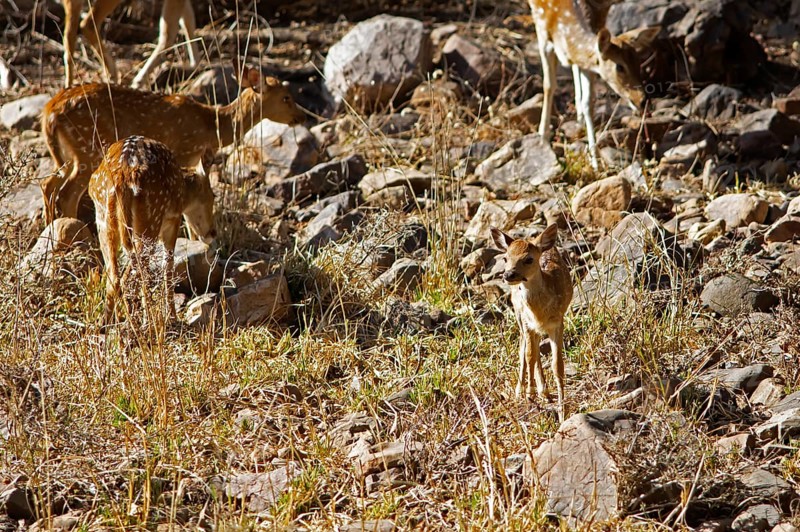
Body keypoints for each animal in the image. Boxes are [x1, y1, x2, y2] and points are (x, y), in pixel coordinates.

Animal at [41, 65, 305, 224]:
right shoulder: (182, 152)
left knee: (48, 184)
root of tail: (49, 113)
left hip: (66, 154)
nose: (302, 116)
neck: (211, 126)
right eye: (286, 98)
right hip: (89, 148)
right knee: (67, 193)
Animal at [62, 0, 199, 88]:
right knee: (88, 23)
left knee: (69, 30)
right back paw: (114, 74)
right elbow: (169, 33)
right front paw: (138, 81)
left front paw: (195, 64)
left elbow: (188, 21)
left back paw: (69, 85)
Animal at [89, 135, 216, 327]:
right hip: (151, 219)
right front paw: (171, 317)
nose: (212, 233)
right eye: (213, 196)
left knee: (114, 278)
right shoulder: (172, 222)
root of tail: (121, 178)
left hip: (103, 220)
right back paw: (138, 325)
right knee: (131, 278)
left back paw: (107, 324)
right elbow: (167, 269)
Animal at [491, 224, 573, 422]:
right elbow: (529, 356)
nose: (508, 274)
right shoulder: (528, 323)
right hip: (518, 314)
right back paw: (521, 391)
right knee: (524, 348)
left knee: (534, 349)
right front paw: (530, 394)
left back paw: (544, 391)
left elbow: (557, 365)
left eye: (528, 259)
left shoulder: (558, 322)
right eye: (505, 258)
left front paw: (562, 411)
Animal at [528, 0, 661, 169]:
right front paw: (542, 138)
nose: (642, 100)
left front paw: (595, 160)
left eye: (639, 62)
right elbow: (549, 85)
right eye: (619, 66)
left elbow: (589, 101)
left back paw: (579, 119)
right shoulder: (542, 33)